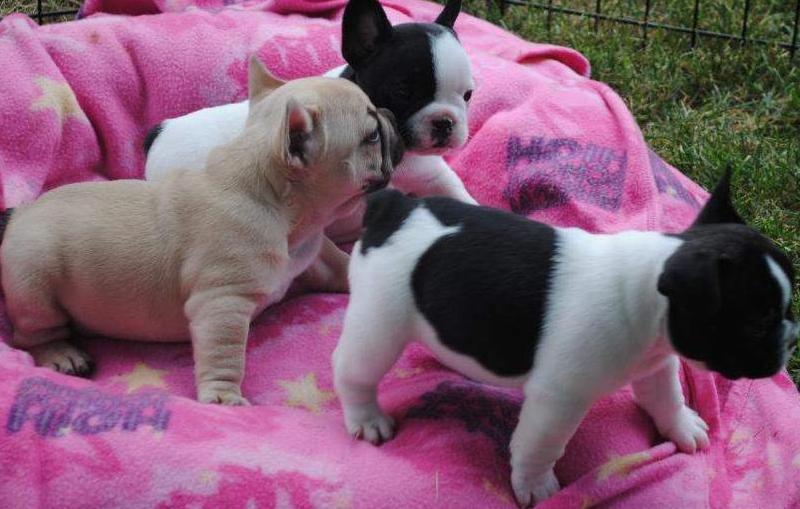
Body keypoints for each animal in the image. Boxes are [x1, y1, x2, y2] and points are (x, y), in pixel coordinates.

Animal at [0, 56, 400, 404]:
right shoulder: (222, 301)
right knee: (33, 333)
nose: (388, 114)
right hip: (35, 285)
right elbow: (224, 351)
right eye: (371, 136)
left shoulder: (313, 257)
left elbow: (342, 265)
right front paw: (222, 397)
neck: (278, 204)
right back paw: (61, 354)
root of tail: (19, 214)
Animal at [145, 0, 476, 241]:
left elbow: (460, 197)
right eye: (402, 91)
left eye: (468, 94)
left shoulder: (432, 176)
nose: (445, 122)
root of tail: (160, 131)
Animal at [330, 169, 792, 506]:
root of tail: (395, 208)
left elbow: (666, 398)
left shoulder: (655, 365)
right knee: (354, 370)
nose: (790, 337)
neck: (649, 292)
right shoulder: (559, 400)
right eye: (757, 322)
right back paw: (368, 419)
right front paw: (536, 487)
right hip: (380, 321)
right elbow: (539, 445)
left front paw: (682, 427)